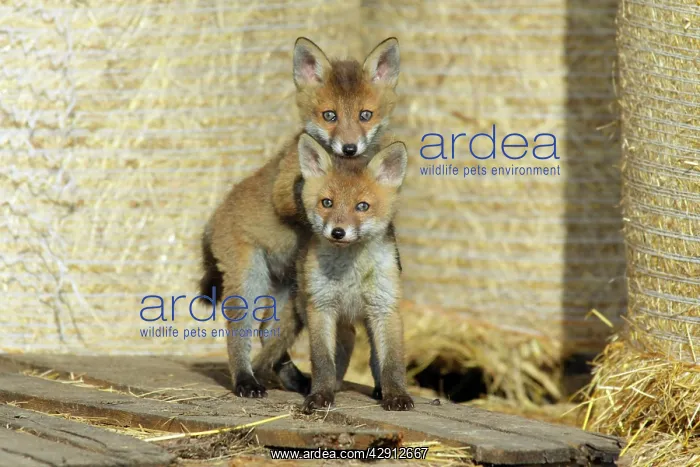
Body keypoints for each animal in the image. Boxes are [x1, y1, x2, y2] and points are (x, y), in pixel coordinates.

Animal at [199, 37, 401, 398]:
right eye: (329, 115)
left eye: (365, 115)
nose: (349, 148)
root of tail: (210, 224)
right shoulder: (286, 188)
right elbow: (302, 206)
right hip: (251, 282)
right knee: (240, 332)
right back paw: (246, 380)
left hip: (286, 292)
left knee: (270, 333)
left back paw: (295, 379)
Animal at [254, 134, 414, 412]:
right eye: (327, 202)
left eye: (362, 206)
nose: (338, 232)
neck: (350, 275)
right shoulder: (321, 307)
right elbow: (322, 361)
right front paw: (320, 394)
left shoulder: (385, 307)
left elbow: (392, 361)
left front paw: (396, 395)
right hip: (309, 307)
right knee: (346, 341)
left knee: (371, 352)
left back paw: (378, 388)